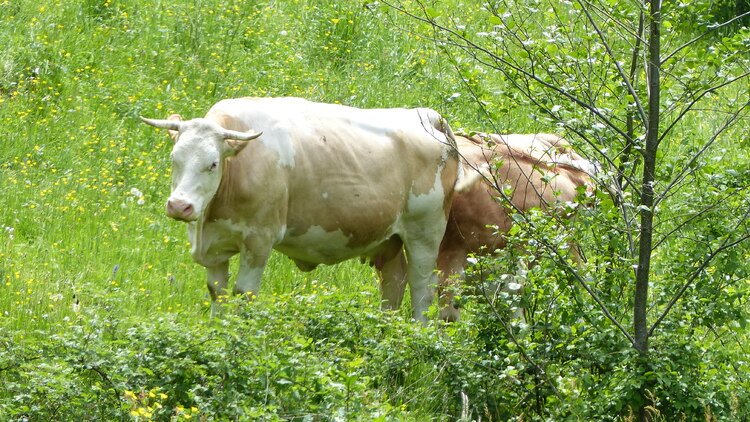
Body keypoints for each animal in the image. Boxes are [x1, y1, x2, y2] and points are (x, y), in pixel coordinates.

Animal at [140, 97, 470, 322]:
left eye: (212, 163)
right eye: (174, 158)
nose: (179, 205)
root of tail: (426, 115)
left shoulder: (259, 239)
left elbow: (243, 294)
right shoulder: (215, 245)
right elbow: (217, 293)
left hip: (424, 232)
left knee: (422, 287)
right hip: (388, 237)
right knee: (393, 282)